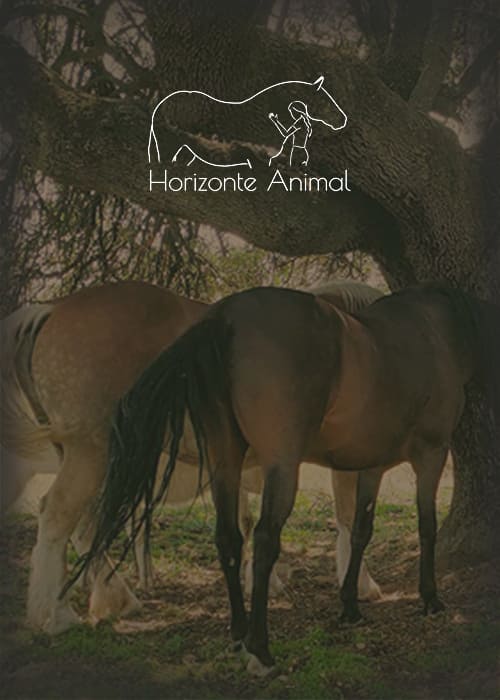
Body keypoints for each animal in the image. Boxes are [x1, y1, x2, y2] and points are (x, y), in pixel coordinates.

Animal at [1, 279, 382, 635]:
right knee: (57, 517)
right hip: (90, 455)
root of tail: (53, 308)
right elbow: (349, 519)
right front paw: (360, 587)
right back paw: (57, 615)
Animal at [78, 283, 499, 675]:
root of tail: (226, 317)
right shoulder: (431, 455)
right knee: (265, 540)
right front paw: (430, 598)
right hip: (282, 466)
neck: (439, 332)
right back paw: (261, 649)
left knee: (229, 538)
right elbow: (427, 527)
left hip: (225, 463)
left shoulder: (371, 466)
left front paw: (350, 605)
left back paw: (238, 632)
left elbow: (361, 531)